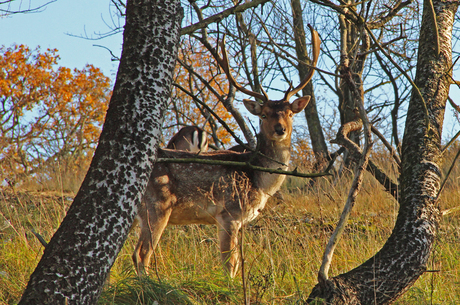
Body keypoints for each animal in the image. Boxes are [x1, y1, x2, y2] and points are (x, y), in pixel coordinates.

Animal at [133, 25, 320, 276]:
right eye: (264, 115)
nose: (280, 129)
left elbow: (237, 262)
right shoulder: (229, 213)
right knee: (142, 254)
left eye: (290, 113)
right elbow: (229, 263)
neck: (259, 182)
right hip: (157, 205)